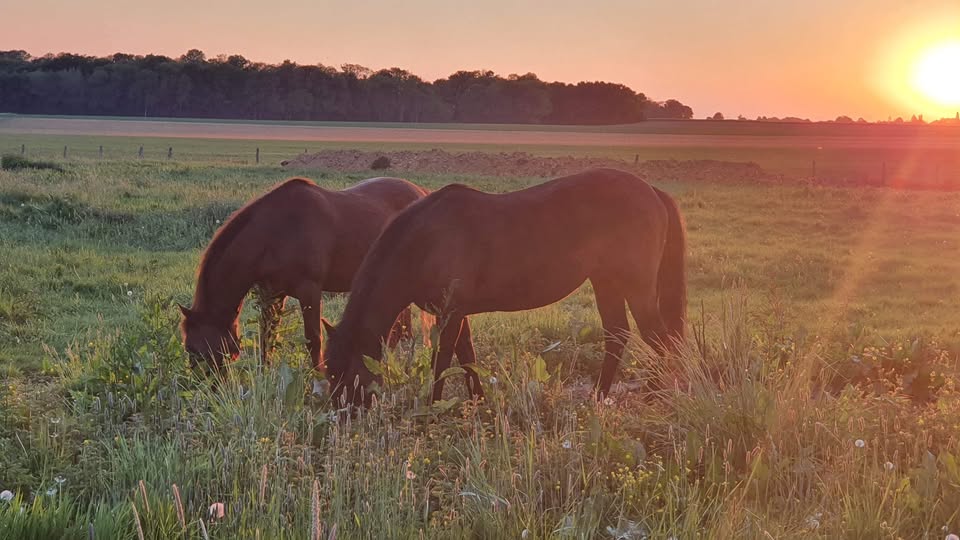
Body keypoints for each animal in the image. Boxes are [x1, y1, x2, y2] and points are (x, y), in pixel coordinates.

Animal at [179, 176, 431, 370]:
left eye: (196, 348)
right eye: (188, 347)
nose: (204, 388)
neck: (276, 232)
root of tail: (421, 191)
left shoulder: (309, 290)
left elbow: (313, 339)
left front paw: (318, 378)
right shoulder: (272, 294)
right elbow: (267, 337)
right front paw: (264, 375)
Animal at [323, 168, 686, 407]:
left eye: (348, 372)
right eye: (329, 371)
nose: (342, 415)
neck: (425, 241)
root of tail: (651, 190)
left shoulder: (450, 314)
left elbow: (443, 361)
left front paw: (432, 409)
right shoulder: (458, 313)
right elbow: (466, 356)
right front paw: (478, 404)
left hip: (635, 287)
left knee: (660, 337)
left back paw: (662, 394)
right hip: (606, 282)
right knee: (618, 335)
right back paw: (599, 398)